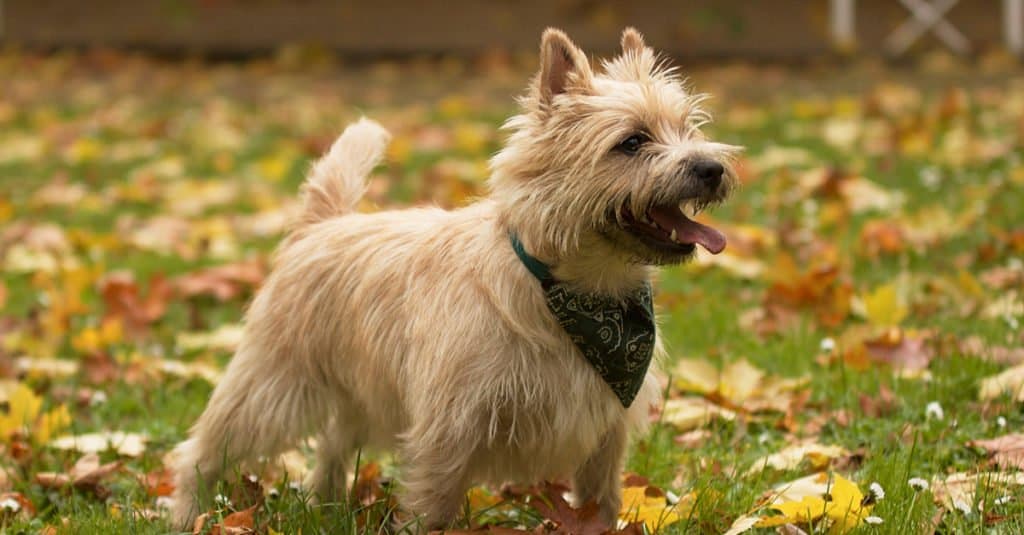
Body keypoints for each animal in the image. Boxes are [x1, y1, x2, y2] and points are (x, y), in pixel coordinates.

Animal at [174, 28, 737, 528]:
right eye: (632, 142)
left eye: (689, 129)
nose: (711, 167)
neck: (577, 293)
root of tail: (321, 224)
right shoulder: (449, 428)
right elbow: (434, 507)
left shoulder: (605, 434)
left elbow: (600, 502)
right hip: (272, 388)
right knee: (200, 451)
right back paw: (187, 514)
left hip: (359, 394)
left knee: (332, 446)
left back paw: (328, 507)